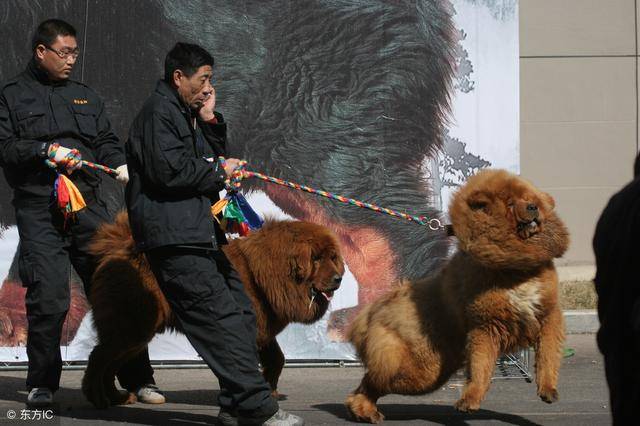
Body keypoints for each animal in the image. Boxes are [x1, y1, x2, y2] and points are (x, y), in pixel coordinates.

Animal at [84, 211, 344, 408]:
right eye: (316, 259)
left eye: (333, 257)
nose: (338, 279)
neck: (265, 273)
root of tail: (120, 248)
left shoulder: (262, 330)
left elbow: (277, 359)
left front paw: (269, 390)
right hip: (131, 327)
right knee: (98, 358)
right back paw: (98, 399)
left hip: (136, 333)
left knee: (111, 364)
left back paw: (115, 398)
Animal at [344, 170, 568, 422]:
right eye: (511, 203)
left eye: (531, 198)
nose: (532, 207)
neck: (516, 270)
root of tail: (368, 315)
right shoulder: (485, 326)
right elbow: (481, 368)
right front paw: (469, 401)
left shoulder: (548, 316)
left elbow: (548, 357)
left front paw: (548, 390)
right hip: (418, 371)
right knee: (371, 382)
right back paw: (363, 411)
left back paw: (363, 412)